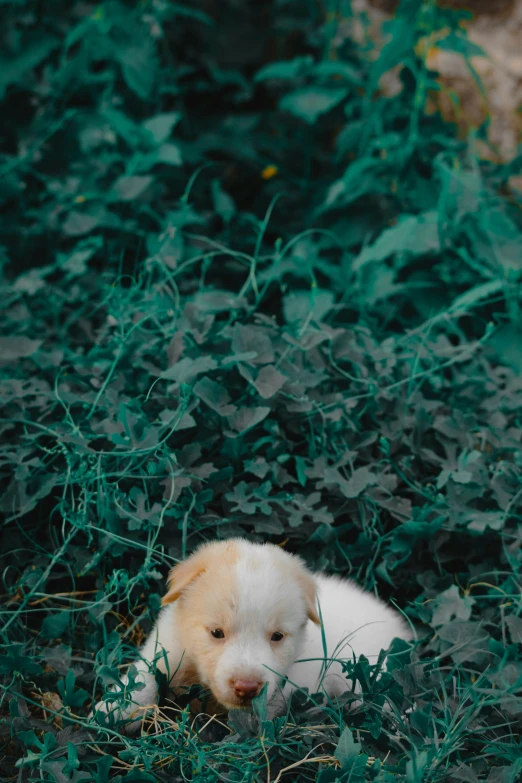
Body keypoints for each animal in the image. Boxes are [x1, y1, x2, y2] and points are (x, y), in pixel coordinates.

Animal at [90, 540, 410, 728]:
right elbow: (145, 679)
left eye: (277, 636)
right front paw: (115, 710)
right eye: (216, 632)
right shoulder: (167, 645)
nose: (247, 687)